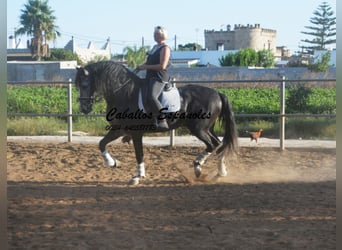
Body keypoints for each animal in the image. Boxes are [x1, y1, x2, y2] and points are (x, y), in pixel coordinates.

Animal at [75, 61, 238, 185]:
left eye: (84, 85)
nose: (84, 108)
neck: (124, 93)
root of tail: (217, 93)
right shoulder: (119, 129)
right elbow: (101, 143)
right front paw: (112, 163)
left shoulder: (136, 133)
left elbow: (139, 154)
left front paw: (137, 177)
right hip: (207, 128)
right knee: (218, 144)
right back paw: (220, 172)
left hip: (198, 129)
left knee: (212, 144)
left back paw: (198, 167)